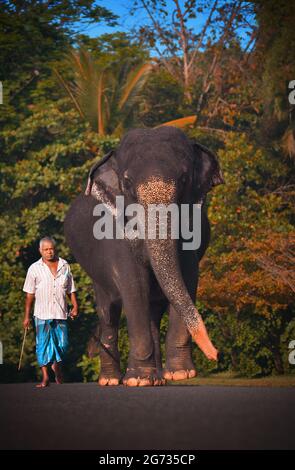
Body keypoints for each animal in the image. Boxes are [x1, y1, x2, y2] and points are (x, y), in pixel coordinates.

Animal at [63, 125, 223, 386]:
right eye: (127, 182)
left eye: (184, 179)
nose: (215, 354)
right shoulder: (117, 237)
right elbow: (134, 286)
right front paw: (138, 380)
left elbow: (188, 279)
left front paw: (180, 374)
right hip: (97, 279)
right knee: (108, 315)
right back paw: (111, 380)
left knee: (152, 314)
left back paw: (157, 379)